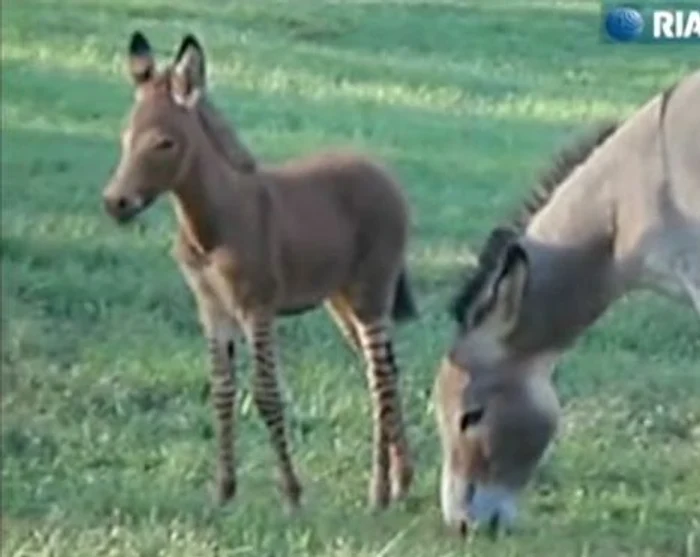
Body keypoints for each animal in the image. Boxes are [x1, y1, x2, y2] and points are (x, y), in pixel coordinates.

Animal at [102, 30, 416, 508]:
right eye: (125, 136)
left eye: (164, 144)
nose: (114, 203)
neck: (211, 224)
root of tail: (380, 168)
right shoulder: (212, 310)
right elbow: (221, 391)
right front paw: (224, 491)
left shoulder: (257, 308)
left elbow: (267, 394)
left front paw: (291, 493)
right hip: (341, 301)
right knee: (384, 372)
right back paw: (401, 481)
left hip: (370, 295)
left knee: (380, 379)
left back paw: (379, 493)